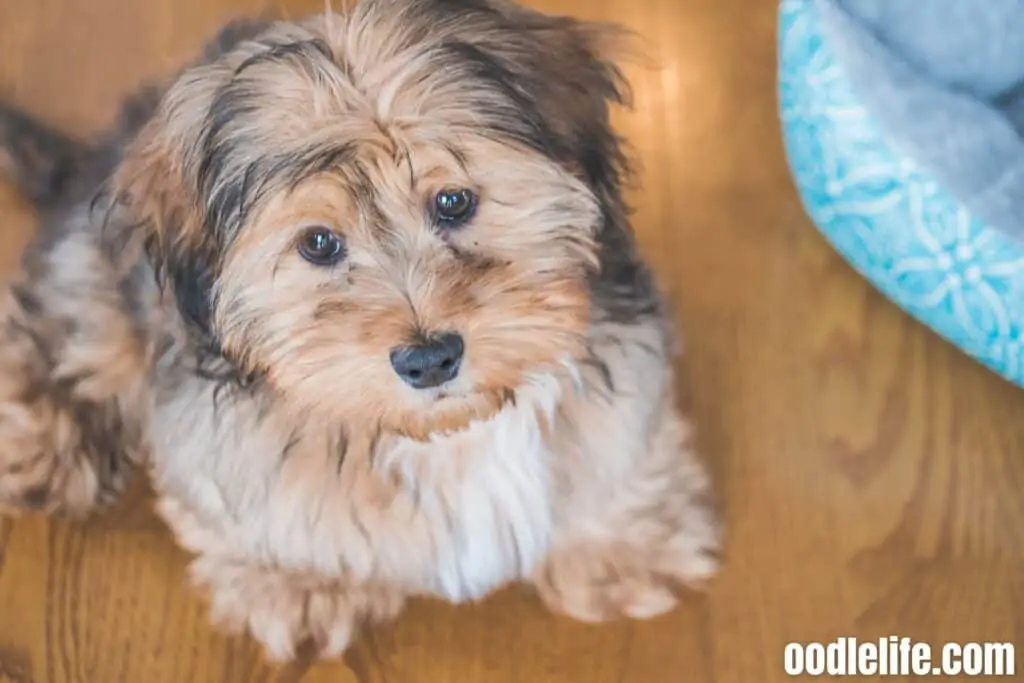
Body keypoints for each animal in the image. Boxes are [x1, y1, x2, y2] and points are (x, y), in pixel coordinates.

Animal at [0, 0, 720, 663]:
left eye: (453, 201)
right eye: (319, 243)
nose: (429, 359)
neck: (445, 435)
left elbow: (616, 445)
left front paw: (623, 542)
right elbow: (251, 502)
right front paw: (301, 582)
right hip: (93, 278)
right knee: (63, 327)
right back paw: (42, 440)